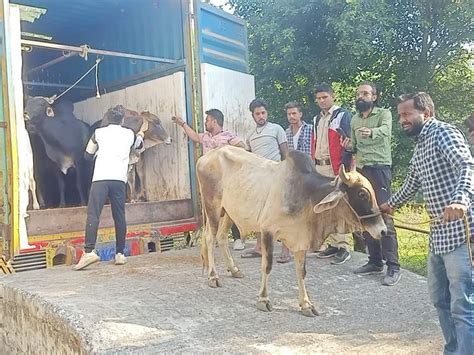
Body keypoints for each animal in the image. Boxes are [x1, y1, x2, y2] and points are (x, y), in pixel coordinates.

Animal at [198, 146, 386, 318]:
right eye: (362, 194)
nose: (383, 231)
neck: (306, 194)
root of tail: (207, 156)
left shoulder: (301, 238)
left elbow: (301, 271)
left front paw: (306, 305)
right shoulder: (267, 231)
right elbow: (267, 266)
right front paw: (263, 300)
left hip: (228, 212)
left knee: (221, 237)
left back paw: (234, 269)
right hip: (213, 207)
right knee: (210, 238)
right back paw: (213, 277)